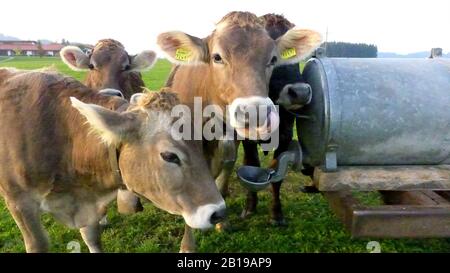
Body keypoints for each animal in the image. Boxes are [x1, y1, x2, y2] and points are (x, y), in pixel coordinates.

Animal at [0, 67, 225, 251]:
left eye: (200, 144)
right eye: (169, 156)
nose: (219, 212)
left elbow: (91, 237)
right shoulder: (19, 202)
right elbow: (38, 244)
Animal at [156, 11, 322, 222]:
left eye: (274, 58)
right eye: (217, 57)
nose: (300, 92)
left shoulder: (282, 134)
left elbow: (274, 173)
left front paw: (275, 213)